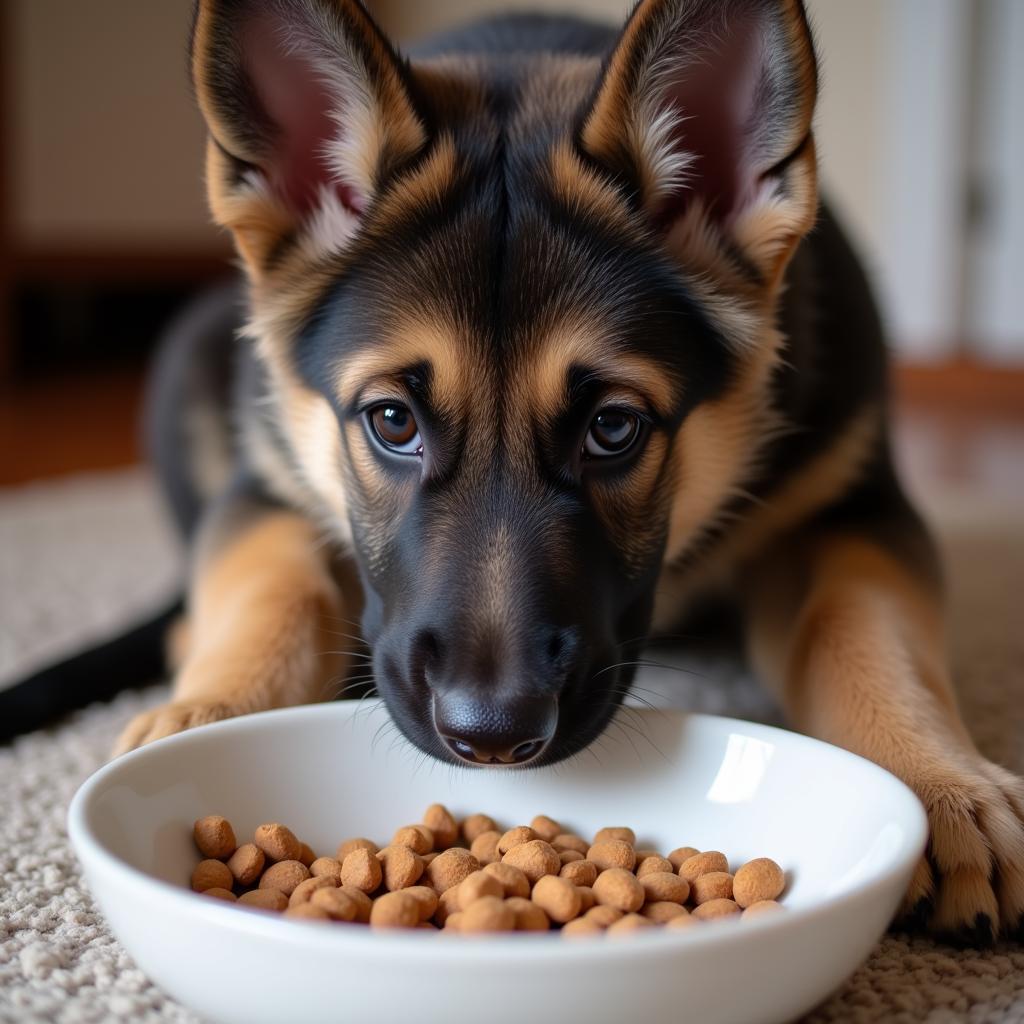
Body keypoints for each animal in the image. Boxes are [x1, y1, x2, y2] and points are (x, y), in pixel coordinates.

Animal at [108, 0, 1019, 942]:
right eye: (392, 421)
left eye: (612, 428)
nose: (492, 736)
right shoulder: (267, 486)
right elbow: (274, 592)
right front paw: (206, 714)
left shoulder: (849, 505)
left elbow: (869, 630)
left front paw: (943, 789)